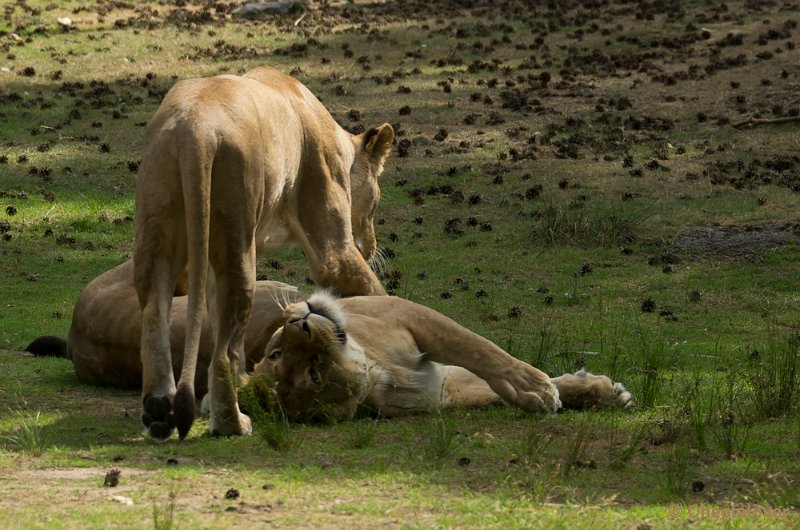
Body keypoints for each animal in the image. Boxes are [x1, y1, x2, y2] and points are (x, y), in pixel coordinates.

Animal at [29, 262, 632, 426]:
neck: (377, 371)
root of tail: (78, 335)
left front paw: (592, 390)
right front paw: (543, 390)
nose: (300, 324)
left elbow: (483, 354)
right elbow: (486, 366)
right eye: (304, 372)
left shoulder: (417, 325)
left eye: (276, 353)